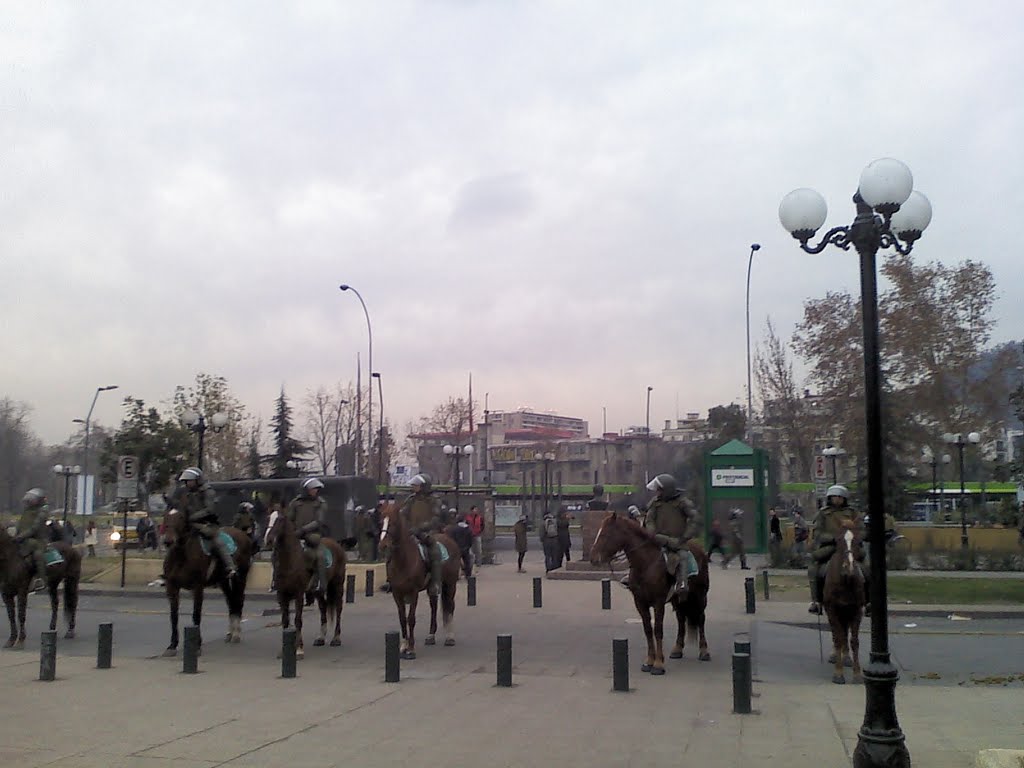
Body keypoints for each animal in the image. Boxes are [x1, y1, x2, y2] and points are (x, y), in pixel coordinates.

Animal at [163, 507, 253, 659]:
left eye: (180, 518)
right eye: (166, 517)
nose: (168, 540)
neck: (181, 555)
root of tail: (242, 533)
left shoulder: (198, 587)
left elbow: (196, 615)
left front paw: (197, 646)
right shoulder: (172, 587)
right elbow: (173, 616)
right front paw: (172, 646)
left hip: (240, 578)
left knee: (238, 601)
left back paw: (236, 633)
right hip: (223, 581)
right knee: (231, 602)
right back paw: (230, 633)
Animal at [262, 514, 346, 659]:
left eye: (280, 520)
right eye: (268, 518)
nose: (269, 540)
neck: (291, 561)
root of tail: (337, 545)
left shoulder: (299, 594)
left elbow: (297, 620)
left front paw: (299, 649)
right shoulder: (281, 595)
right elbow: (285, 620)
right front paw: (284, 651)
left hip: (337, 584)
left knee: (338, 608)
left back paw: (336, 638)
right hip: (318, 591)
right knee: (323, 608)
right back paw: (321, 638)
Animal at [380, 505, 460, 663]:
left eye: (393, 523)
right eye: (381, 521)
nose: (383, 545)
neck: (403, 560)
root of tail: (449, 538)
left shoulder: (413, 592)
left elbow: (411, 619)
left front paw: (411, 650)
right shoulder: (397, 594)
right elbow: (402, 619)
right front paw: (403, 647)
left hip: (450, 584)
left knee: (450, 606)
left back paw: (450, 637)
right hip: (433, 587)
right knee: (434, 607)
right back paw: (431, 636)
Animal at [589, 514, 708, 675]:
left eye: (605, 534)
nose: (593, 558)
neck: (646, 564)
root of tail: (699, 549)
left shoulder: (658, 603)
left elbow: (657, 630)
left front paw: (658, 664)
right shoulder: (640, 602)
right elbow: (647, 630)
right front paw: (649, 661)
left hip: (701, 596)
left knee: (701, 619)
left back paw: (704, 651)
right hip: (678, 599)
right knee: (681, 619)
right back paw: (677, 649)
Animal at [819, 524, 860, 684]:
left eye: (858, 541)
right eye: (838, 541)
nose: (849, 566)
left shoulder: (856, 610)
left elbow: (854, 641)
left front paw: (857, 674)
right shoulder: (832, 609)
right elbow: (837, 638)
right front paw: (838, 673)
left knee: (844, 633)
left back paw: (846, 657)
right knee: (837, 633)